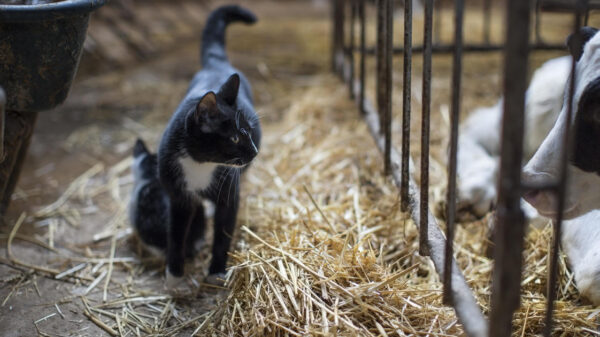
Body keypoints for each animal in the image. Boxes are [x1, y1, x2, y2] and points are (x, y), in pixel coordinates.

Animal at [129, 4, 260, 286]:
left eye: (249, 132)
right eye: (235, 138)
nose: (254, 151)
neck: (200, 165)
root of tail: (215, 64)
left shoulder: (228, 192)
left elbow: (223, 232)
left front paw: (217, 271)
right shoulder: (177, 196)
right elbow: (176, 234)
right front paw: (175, 275)